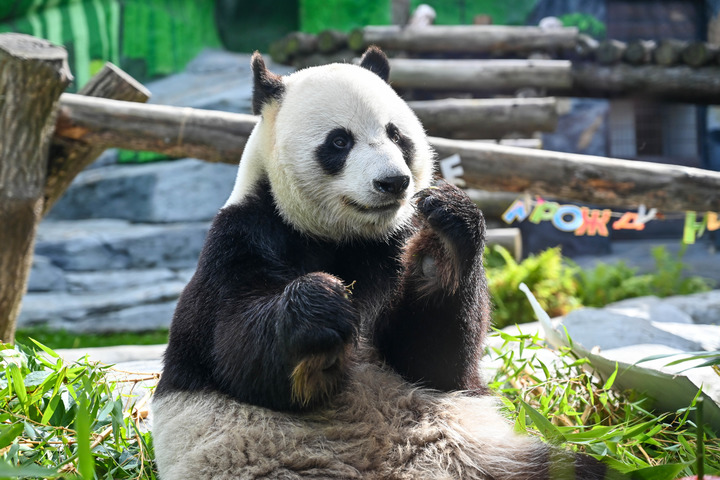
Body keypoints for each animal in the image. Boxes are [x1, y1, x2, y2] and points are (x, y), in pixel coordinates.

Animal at [150, 46, 620, 480]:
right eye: (339, 141)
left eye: (397, 136)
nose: (393, 182)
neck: (340, 237)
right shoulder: (241, 240)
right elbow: (238, 354)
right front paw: (320, 309)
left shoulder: (391, 247)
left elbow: (431, 359)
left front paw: (446, 237)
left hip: (487, 455)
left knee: (579, 468)